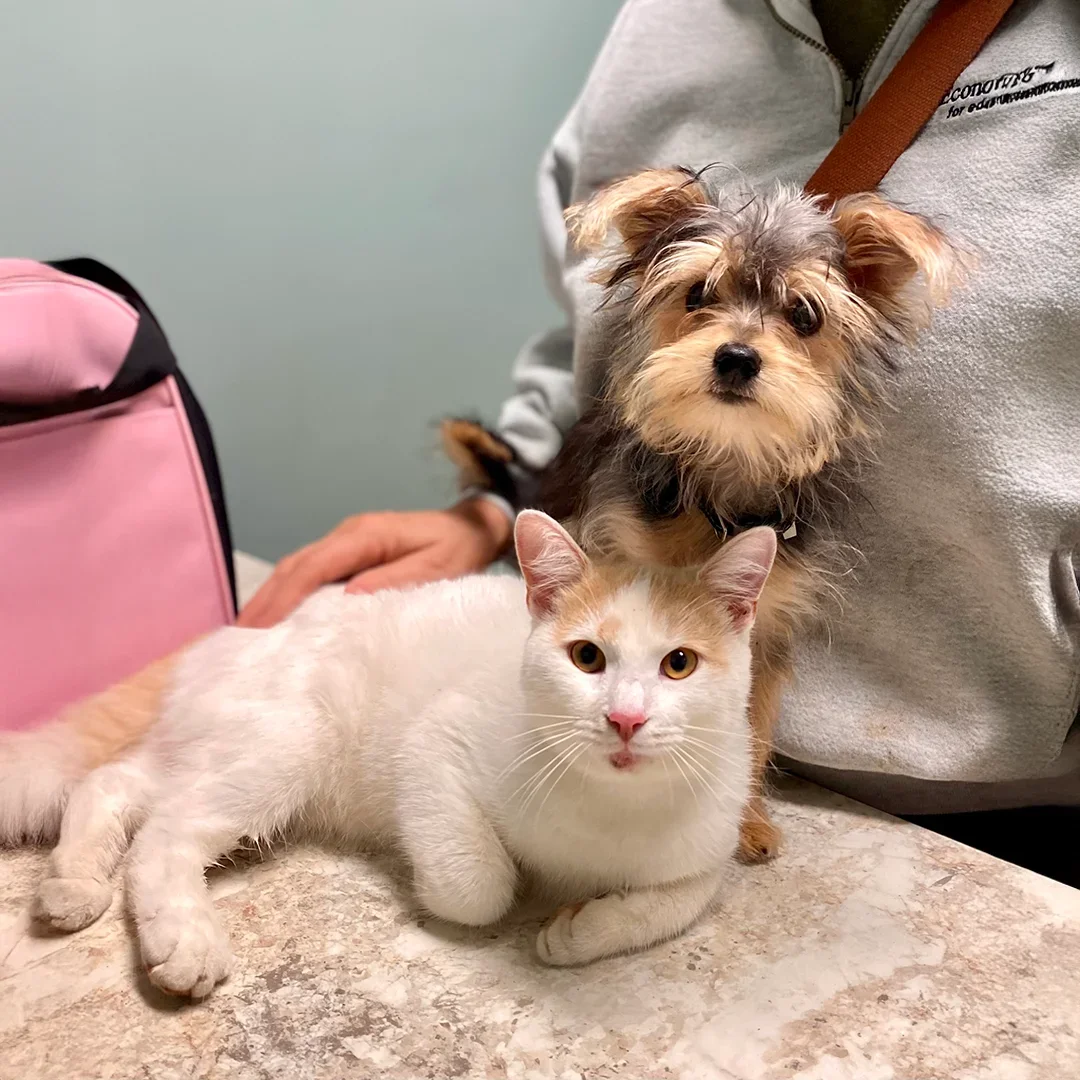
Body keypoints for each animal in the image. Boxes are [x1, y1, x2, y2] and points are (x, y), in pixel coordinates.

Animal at [1, 510, 776, 998]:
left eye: (680, 664)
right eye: (587, 657)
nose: (625, 718)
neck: (611, 809)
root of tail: (238, 635)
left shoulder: (710, 847)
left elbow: (673, 905)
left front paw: (580, 929)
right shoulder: (436, 746)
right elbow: (478, 887)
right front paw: (451, 889)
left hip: (216, 742)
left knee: (112, 783)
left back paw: (72, 881)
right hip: (289, 743)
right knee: (163, 834)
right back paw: (183, 940)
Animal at [444, 167, 966, 861]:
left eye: (805, 315)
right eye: (697, 294)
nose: (737, 357)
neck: (722, 480)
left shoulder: (767, 629)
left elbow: (752, 725)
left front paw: (742, 821)